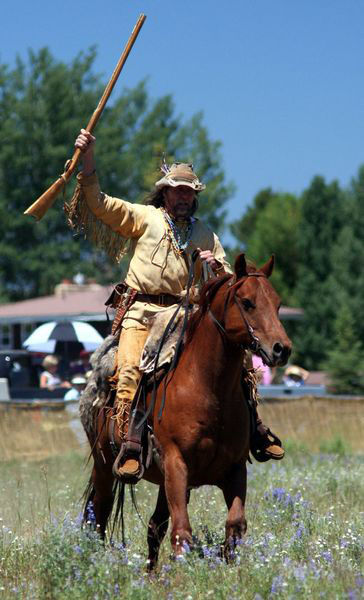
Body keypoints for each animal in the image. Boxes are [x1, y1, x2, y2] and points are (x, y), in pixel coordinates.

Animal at [82, 253, 290, 568]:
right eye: (247, 302)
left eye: (277, 303)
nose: (282, 349)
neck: (207, 389)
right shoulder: (176, 463)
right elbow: (182, 532)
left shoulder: (234, 468)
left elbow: (235, 525)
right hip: (105, 466)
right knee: (98, 517)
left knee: (154, 527)